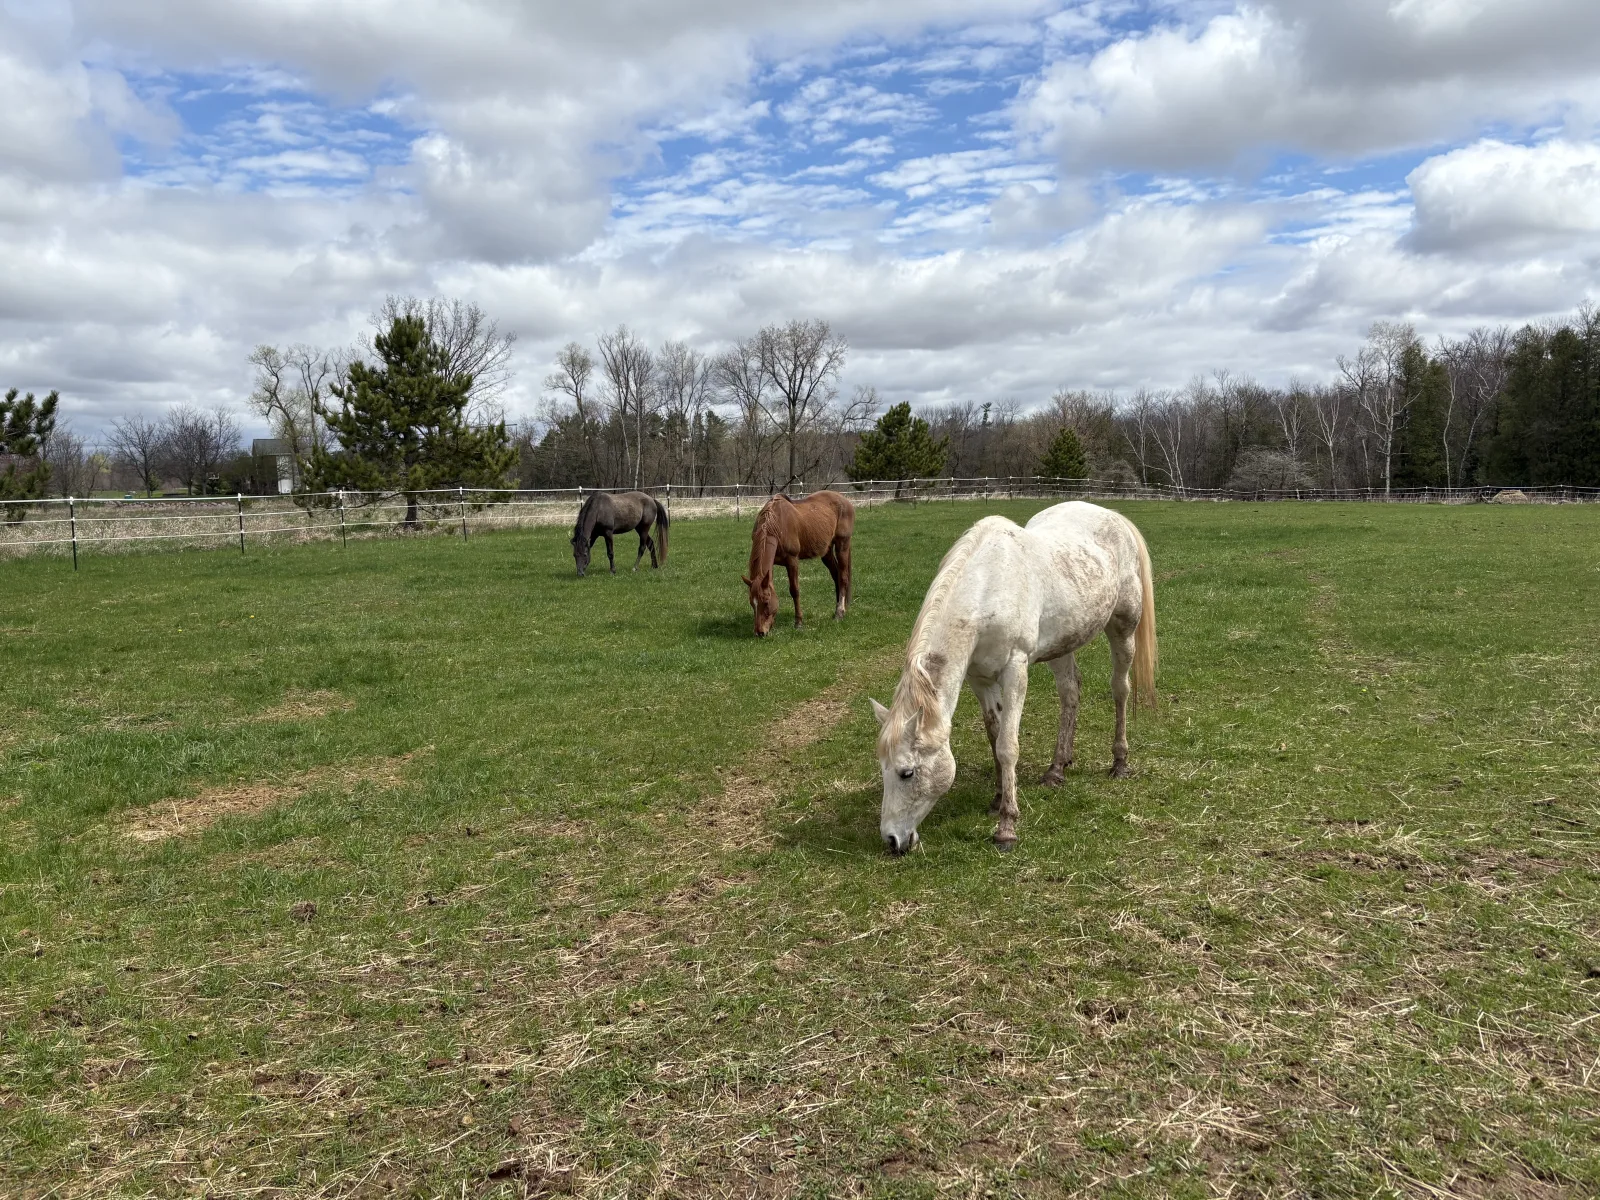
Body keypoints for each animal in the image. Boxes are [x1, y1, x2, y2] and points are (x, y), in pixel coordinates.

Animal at [742, 490, 855, 637]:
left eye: (766, 602)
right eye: (752, 603)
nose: (760, 632)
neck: (776, 524)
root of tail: (844, 499)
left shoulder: (792, 561)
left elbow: (794, 590)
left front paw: (798, 623)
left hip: (843, 544)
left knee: (843, 577)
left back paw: (840, 612)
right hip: (827, 551)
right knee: (836, 575)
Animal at [871, 501, 1157, 855]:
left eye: (907, 773)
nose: (892, 840)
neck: (988, 588)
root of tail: (1114, 516)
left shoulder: (1015, 671)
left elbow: (1008, 745)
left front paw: (1006, 826)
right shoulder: (980, 679)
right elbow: (994, 737)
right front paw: (997, 800)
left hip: (1123, 628)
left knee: (1120, 689)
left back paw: (1119, 763)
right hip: (1062, 645)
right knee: (1070, 694)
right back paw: (1057, 769)